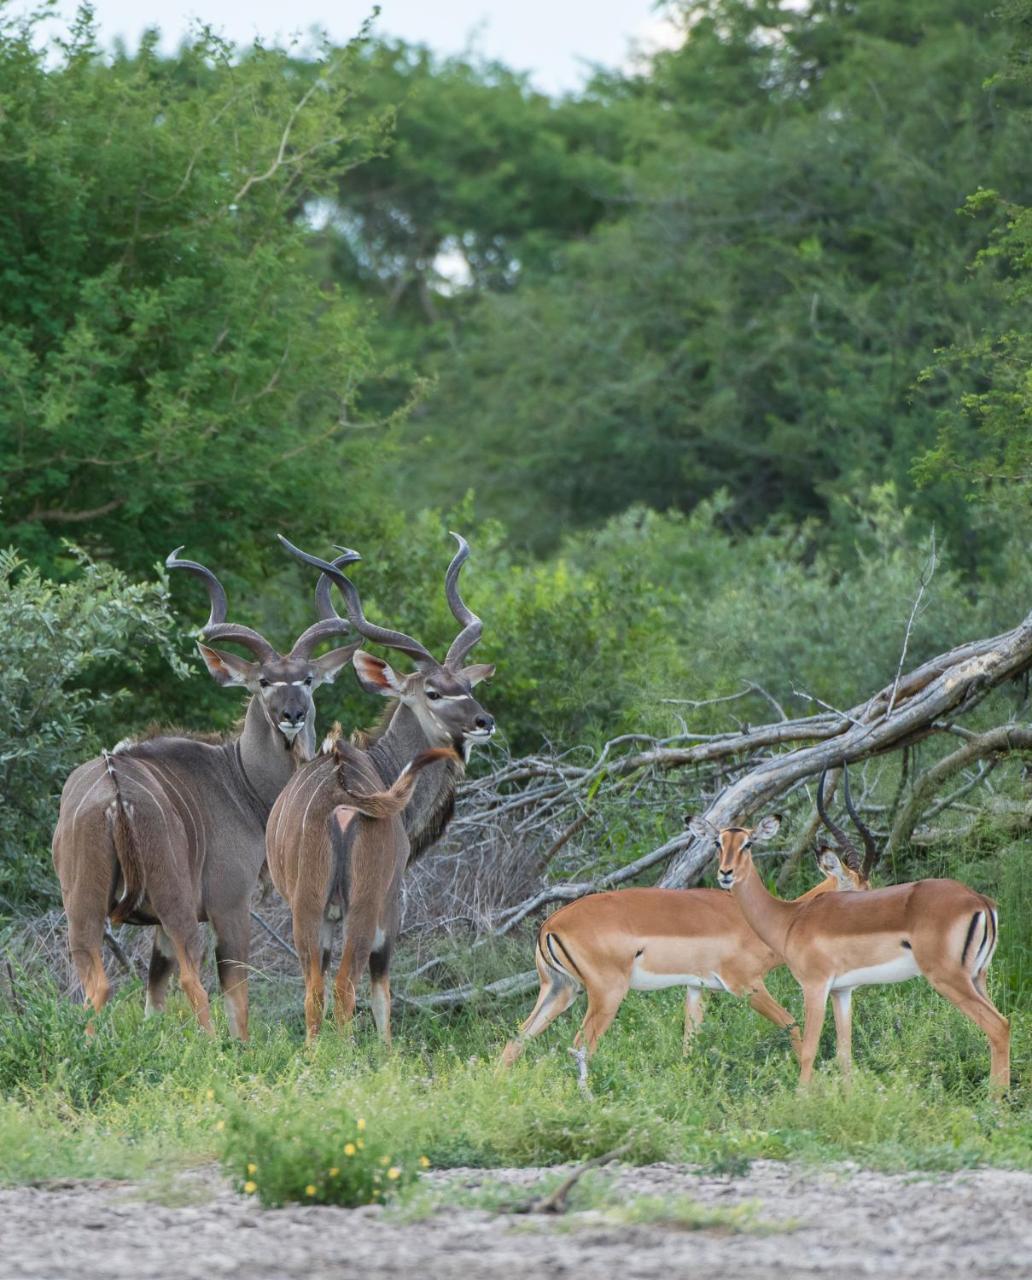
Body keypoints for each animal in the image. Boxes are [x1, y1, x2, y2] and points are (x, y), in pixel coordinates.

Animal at [52, 550, 358, 1039]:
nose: (292, 715)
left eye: (308, 679)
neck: (238, 778)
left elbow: (154, 993)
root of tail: (116, 794)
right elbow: (236, 991)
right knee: (192, 979)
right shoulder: (228, 903)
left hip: (82, 904)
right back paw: (210, 1047)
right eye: (263, 681)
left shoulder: (155, 925)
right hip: (174, 902)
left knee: (96, 984)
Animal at [265, 529, 494, 1039]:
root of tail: (340, 805)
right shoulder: (391, 904)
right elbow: (382, 991)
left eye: (468, 687)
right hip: (364, 906)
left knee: (315, 991)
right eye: (433, 692)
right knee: (348, 986)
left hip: (307, 909)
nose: (484, 722)